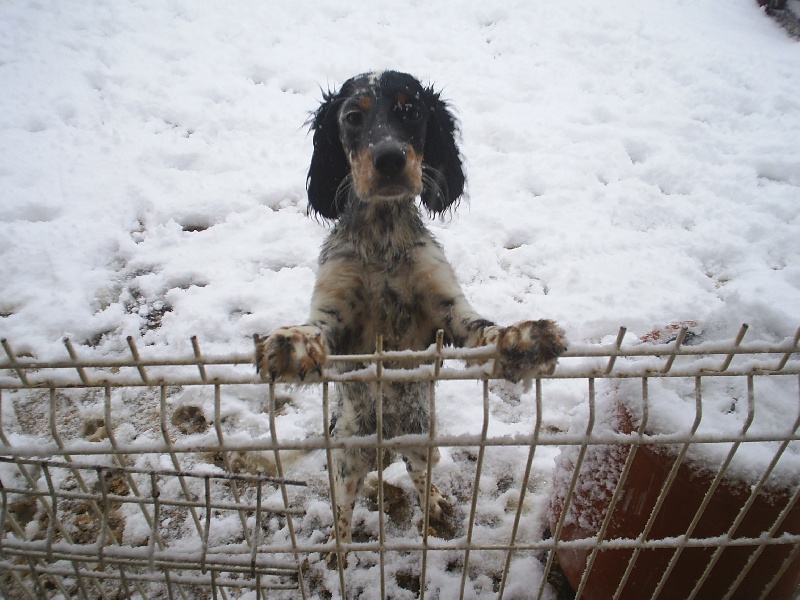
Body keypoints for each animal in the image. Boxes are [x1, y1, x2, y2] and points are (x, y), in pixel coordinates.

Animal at [256, 70, 568, 568]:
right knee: (343, 505)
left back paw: (435, 502)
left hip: (423, 440)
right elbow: (314, 329)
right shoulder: (336, 314)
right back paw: (337, 554)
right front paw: (291, 343)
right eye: (353, 116)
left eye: (412, 110)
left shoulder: (446, 311)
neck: (382, 234)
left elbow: (485, 330)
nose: (389, 159)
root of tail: (388, 442)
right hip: (347, 453)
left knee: (421, 477)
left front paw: (523, 338)